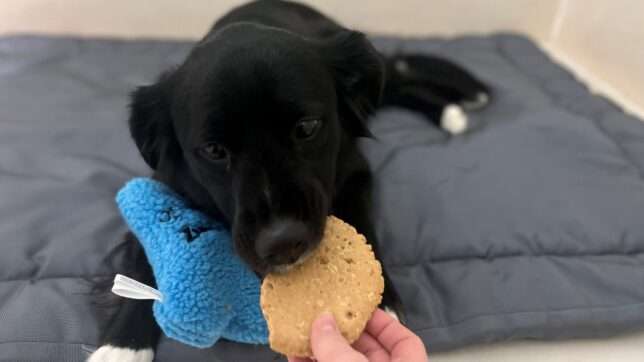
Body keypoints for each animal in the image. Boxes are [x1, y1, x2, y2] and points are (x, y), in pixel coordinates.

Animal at [88, 1, 486, 360]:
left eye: (307, 127)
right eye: (214, 150)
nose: (283, 243)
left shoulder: (356, 172)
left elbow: (364, 229)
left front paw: (382, 303)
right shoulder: (163, 184)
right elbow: (143, 255)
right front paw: (122, 344)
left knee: (400, 80)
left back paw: (456, 107)